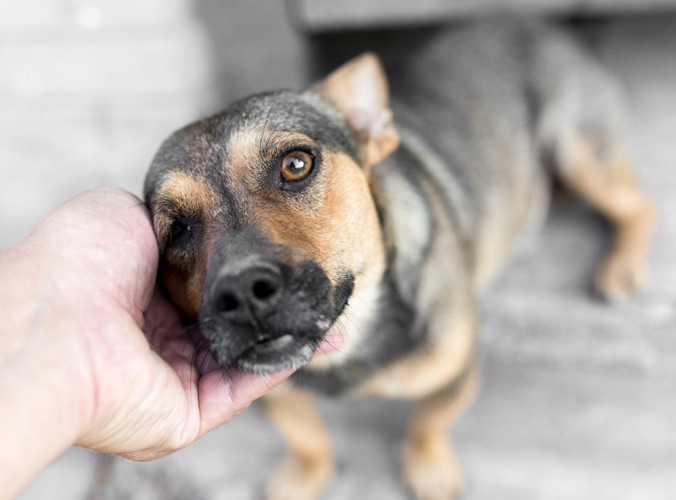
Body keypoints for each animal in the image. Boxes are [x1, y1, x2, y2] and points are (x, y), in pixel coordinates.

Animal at [143, 19, 656, 500]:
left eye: (296, 164)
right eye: (175, 230)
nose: (244, 293)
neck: (351, 341)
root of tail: (543, 27)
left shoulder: (456, 368)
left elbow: (427, 423)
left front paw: (428, 469)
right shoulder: (277, 394)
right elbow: (306, 437)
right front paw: (305, 475)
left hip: (579, 149)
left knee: (639, 206)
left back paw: (620, 267)